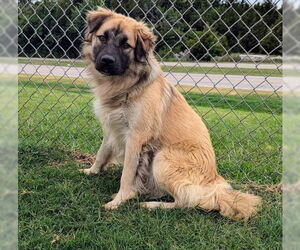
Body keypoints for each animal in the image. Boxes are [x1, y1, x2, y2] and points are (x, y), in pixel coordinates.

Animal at [81, 6, 262, 220]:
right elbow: (102, 153)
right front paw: (92, 171)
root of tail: (213, 183)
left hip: (162, 158)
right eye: (102, 37)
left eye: (126, 45)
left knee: (186, 201)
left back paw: (151, 204)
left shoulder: (136, 137)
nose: (107, 61)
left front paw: (119, 200)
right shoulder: (112, 127)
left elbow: (127, 174)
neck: (125, 85)